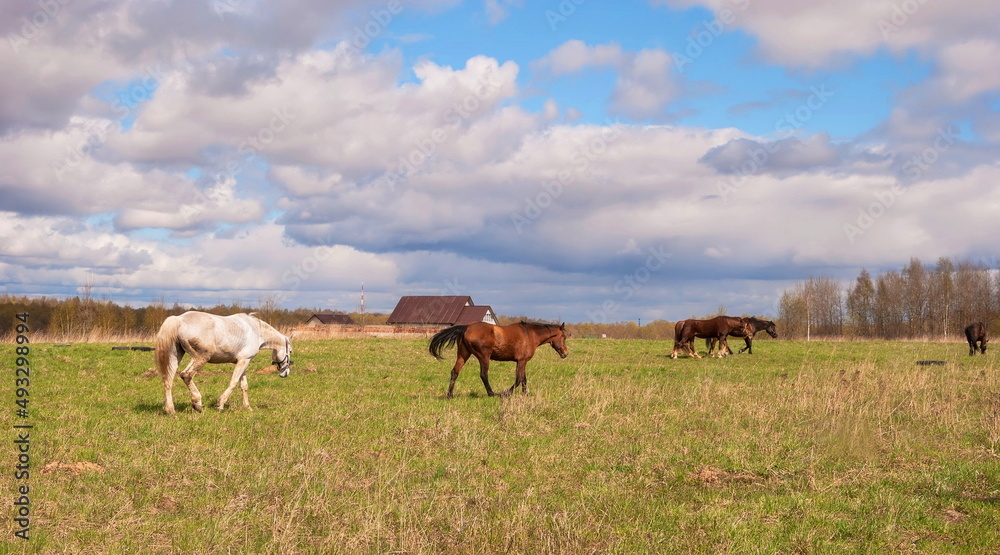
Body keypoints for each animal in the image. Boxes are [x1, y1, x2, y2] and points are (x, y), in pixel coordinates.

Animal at [153, 310, 292, 414]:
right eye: (290, 351)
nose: (285, 373)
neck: (256, 331)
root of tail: (179, 319)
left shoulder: (243, 362)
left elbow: (244, 386)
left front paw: (247, 407)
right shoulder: (243, 361)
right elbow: (233, 383)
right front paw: (220, 404)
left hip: (176, 356)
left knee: (168, 380)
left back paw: (171, 410)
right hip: (201, 358)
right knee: (186, 375)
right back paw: (197, 404)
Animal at [430, 322, 572, 400]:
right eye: (564, 337)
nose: (565, 354)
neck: (530, 335)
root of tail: (466, 327)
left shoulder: (522, 362)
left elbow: (524, 379)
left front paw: (525, 394)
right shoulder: (521, 361)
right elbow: (519, 379)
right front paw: (505, 393)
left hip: (463, 354)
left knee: (455, 372)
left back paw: (450, 395)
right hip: (484, 356)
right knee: (483, 375)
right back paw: (491, 393)